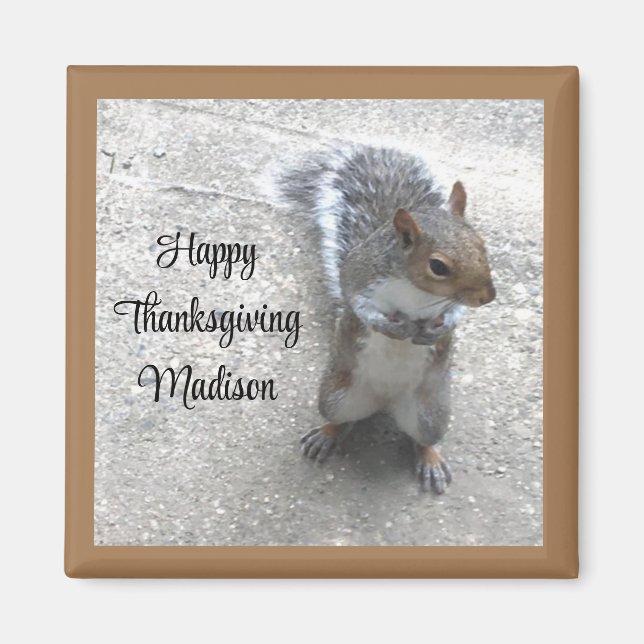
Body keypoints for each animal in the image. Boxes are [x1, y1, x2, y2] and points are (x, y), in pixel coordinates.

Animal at [269, 143, 496, 494]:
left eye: (482, 245)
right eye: (438, 266)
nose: (489, 296)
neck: (416, 290)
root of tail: (386, 402)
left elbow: (455, 312)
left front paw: (439, 329)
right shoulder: (359, 275)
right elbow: (359, 304)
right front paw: (390, 327)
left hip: (430, 414)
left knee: (424, 439)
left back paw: (430, 461)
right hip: (336, 397)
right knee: (341, 420)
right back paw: (326, 436)